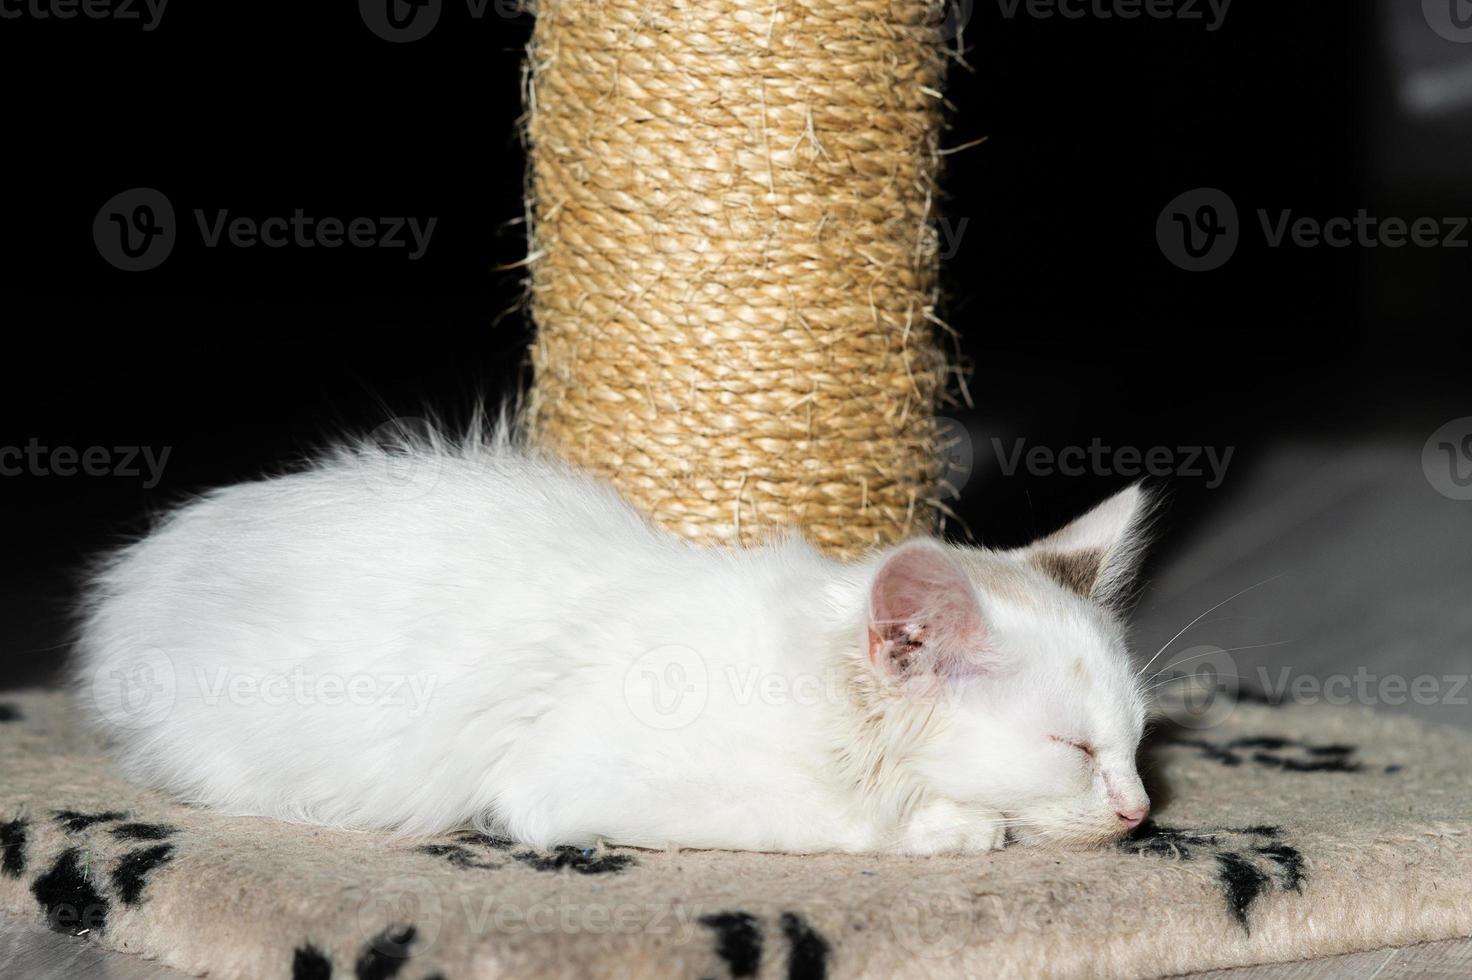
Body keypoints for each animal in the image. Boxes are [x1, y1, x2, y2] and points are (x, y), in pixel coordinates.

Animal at [74, 423, 1154, 853]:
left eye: (1137, 744)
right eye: (1072, 748)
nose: (1141, 809)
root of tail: (143, 565)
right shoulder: (568, 778)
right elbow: (815, 814)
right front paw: (951, 825)